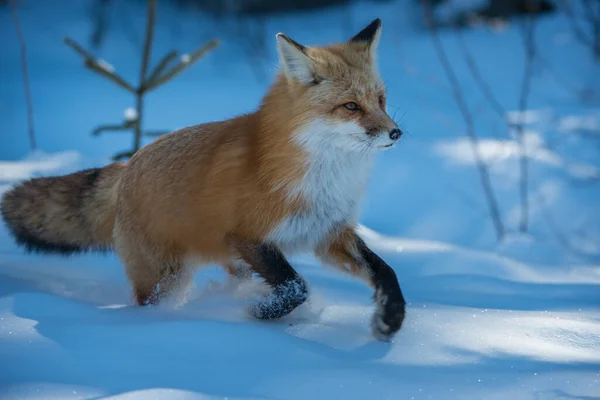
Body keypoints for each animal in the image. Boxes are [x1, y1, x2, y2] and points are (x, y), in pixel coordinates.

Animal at [2, 19, 406, 340]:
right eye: (351, 106)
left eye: (381, 100)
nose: (396, 133)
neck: (324, 177)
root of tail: (129, 165)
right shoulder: (246, 236)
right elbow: (296, 286)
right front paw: (261, 312)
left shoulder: (328, 234)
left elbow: (385, 270)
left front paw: (390, 318)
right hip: (167, 279)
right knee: (150, 303)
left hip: (228, 265)